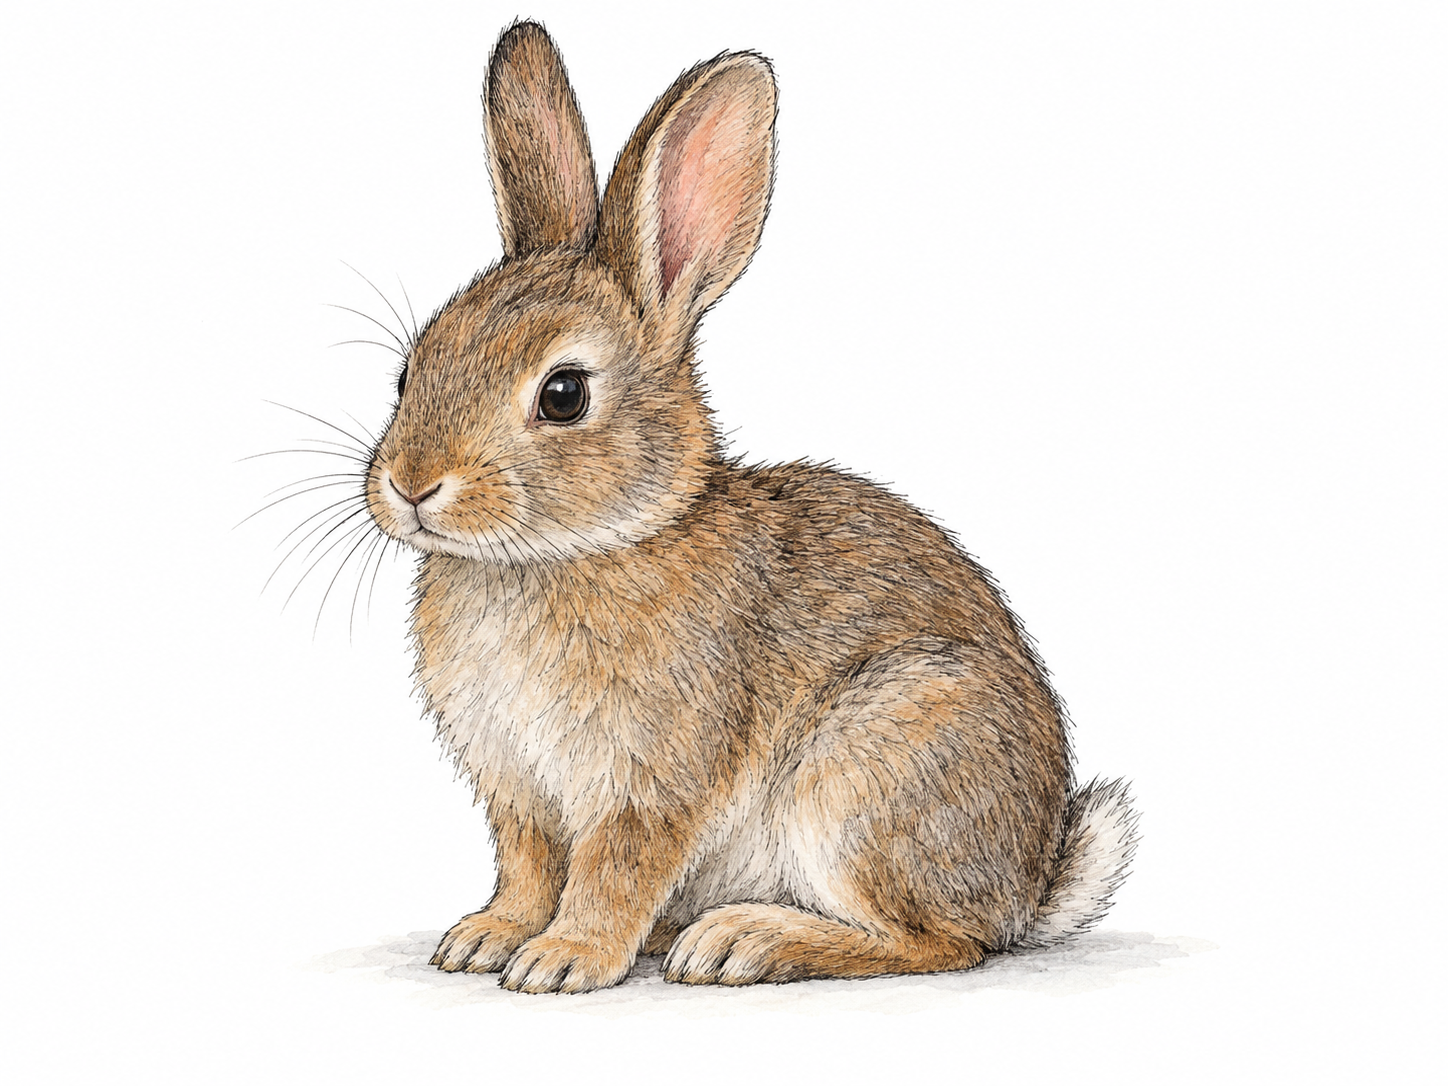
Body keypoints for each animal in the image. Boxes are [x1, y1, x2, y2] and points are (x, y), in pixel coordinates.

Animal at [361, 20, 1137, 994]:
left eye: (564, 394)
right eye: (409, 370)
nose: (411, 484)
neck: (569, 550)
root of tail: (1030, 887)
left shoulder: (652, 777)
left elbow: (614, 870)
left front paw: (564, 961)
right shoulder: (518, 789)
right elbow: (529, 866)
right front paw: (485, 938)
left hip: (866, 775)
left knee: (937, 943)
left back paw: (743, 941)